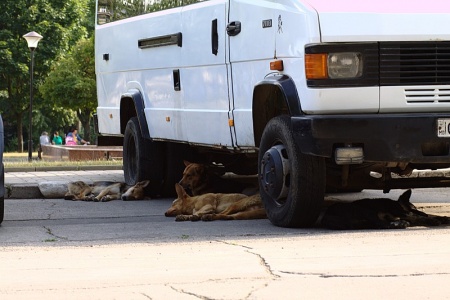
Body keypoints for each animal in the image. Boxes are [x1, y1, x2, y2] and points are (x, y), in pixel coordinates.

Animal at [320, 190, 450, 230]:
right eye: (414, 207)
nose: (422, 213)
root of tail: (327, 216)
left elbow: (425, 216)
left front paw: (443, 218)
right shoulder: (399, 211)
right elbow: (416, 216)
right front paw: (433, 220)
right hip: (366, 210)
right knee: (381, 224)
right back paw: (400, 224)